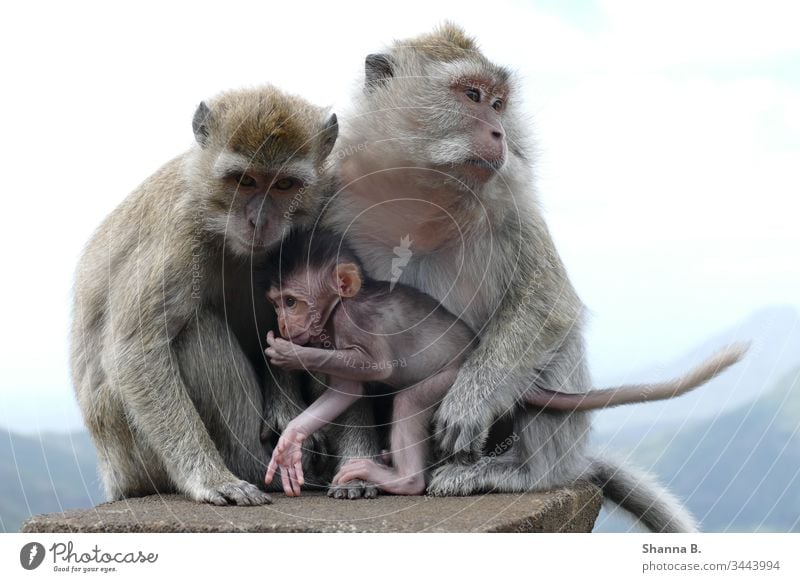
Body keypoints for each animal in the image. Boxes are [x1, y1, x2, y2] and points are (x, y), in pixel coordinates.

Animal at [260, 229, 748, 498]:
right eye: (278, 303)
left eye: (293, 302)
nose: (283, 323)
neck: (336, 314)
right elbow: (347, 391)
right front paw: (291, 441)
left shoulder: (355, 323)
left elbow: (376, 369)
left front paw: (289, 354)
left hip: (454, 377)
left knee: (411, 398)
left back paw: (405, 479)